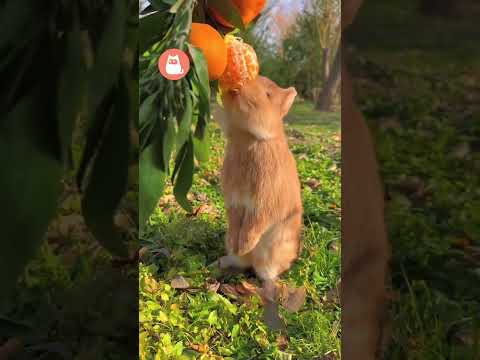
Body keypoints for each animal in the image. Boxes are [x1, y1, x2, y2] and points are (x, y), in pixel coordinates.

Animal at [215, 75, 302, 330]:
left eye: (267, 95)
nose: (237, 88)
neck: (250, 138)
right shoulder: (235, 202)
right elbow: (236, 222)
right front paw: (237, 244)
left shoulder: (263, 205)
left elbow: (254, 225)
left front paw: (244, 244)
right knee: (242, 263)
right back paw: (224, 260)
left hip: (272, 252)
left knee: (266, 274)